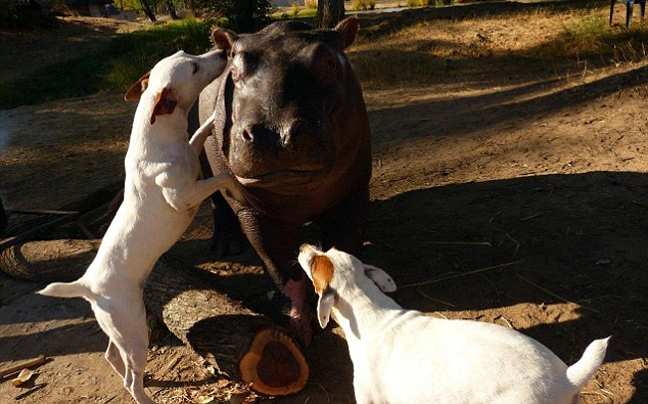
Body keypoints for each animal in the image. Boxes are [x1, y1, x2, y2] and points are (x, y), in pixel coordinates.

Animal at [38, 50, 242, 404]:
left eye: (187, 54)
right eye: (193, 67)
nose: (221, 52)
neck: (159, 137)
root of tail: (87, 286)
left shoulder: (190, 151)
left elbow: (198, 136)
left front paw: (212, 120)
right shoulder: (184, 196)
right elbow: (221, 178)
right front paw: (238, 188)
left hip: (122, 329)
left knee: (112, 356)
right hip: (135, 332)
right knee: (131, 380)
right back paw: (144, 395)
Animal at [196, 18, 370, 340]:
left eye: (329, 61)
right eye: (234, 71)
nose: (274, 132)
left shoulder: (353, 195)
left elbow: (344, 243)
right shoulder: (254, 211)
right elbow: (278, 263)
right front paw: (299, 328)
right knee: (217, 205)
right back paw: (227, 246)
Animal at [296, 245, 612, 404]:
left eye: (312, 263)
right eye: (326, 249)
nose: (302, 246)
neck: (371, 310)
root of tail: (566, 377)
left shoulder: (370, 398)